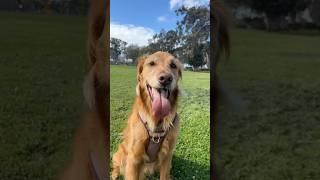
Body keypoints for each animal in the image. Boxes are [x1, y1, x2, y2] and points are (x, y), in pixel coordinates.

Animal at [112, 51, 182, 179]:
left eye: (173, 65)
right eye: (152, 63)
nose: (166, 79)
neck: (156, 120)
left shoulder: (167, 157)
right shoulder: (133, 159)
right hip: (120, 153)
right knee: (116, 165)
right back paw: (114, 174)